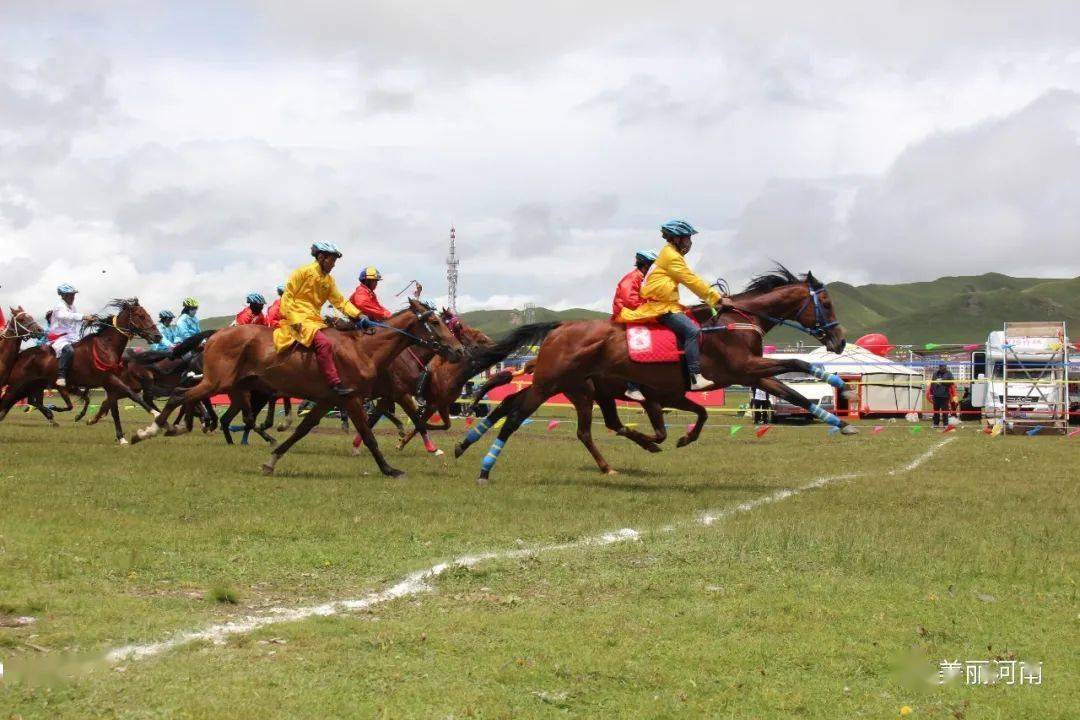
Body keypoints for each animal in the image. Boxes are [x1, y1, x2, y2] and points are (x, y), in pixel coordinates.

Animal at [0, 297, 162, 442]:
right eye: (141, 316)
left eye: (147, 314)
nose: (158, 336)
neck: (105, 347)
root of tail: (21, 355)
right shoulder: (109, 380)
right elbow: (132, 395)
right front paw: (155, 413)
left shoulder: (110, 386)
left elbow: (114, 409)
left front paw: (121, 438)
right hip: (17, 385)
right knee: (8, 401)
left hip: (32, 386)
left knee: (24, 402)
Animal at [133, 297, 464, 479]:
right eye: (436, 322)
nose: (460, 351)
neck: (363, 349)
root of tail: (215, 335)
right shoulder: (355, 398)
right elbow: (371, 435)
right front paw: (391, 469)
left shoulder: (329, 399)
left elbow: (302, 430)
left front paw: (271, 460)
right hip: (219, 382)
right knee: (182, 396)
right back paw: (150, 430)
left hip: (236, 386)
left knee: (203, 404)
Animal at [457, 268, 859, 483]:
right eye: (826, 303)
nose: (839, 340)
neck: (735, 321)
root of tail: (559, 327)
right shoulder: (742, 369)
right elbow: (798, 364)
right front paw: (839, 383)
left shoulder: (751, 376)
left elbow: (791, 394)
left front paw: (840, 421)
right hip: (552, 383)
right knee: (515, 414)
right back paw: (484, 465)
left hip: (573, 388)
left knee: (547, 416)